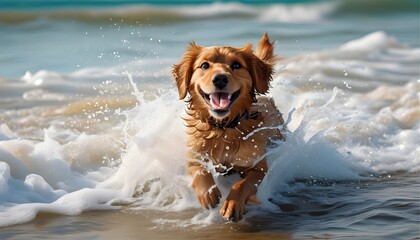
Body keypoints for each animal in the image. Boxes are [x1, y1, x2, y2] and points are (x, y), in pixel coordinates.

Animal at [172, 32, 284, 222]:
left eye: (236, 65)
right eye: (204, 65)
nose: (220, 78)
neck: (223, 128)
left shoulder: (258, 167)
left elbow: (242, 184)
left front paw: (233, 204)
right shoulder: (194, 156)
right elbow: (200, 170)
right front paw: (208, 193)